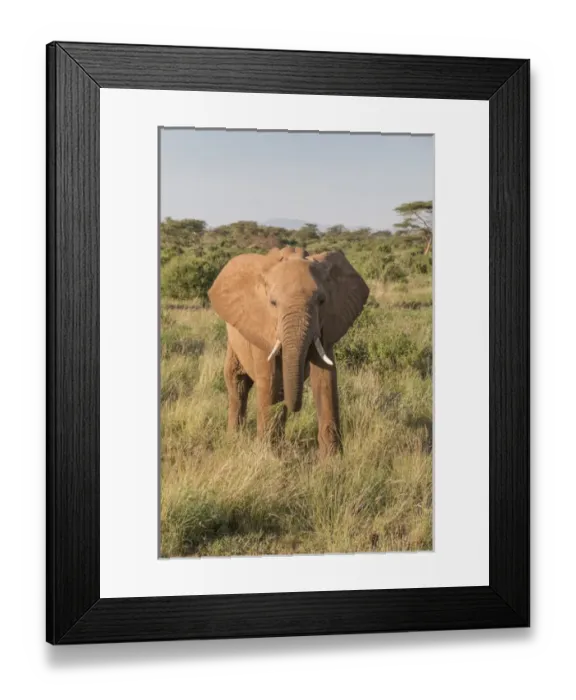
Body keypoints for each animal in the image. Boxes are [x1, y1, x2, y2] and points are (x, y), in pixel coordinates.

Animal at [207, 246, 369, 457]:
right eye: (273, 303)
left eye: (322, 301)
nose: (296, 409)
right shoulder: (263, 328)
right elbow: (270, 381)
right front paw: (269, 456)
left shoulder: (326, 326)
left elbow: (325, 380)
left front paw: (332, 460)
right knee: (238, 383)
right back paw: (234, 439)